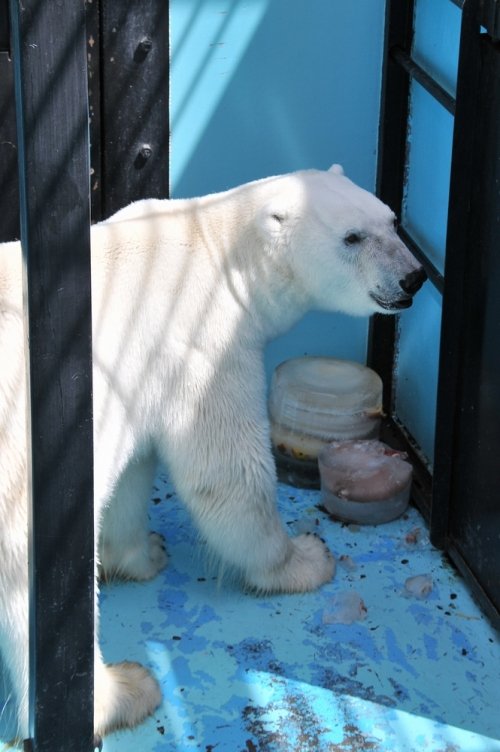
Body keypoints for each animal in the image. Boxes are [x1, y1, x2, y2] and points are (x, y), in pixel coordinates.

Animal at [0, 166, 426, 740]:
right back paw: (122, 691)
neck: (218, 250)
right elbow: (228, 470)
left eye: (391, 220)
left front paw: (144, 551)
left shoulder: (140, 381)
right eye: (352, 238)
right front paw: (304, 559)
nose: (413, 277)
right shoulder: (201, 341)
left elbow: (133, 471)